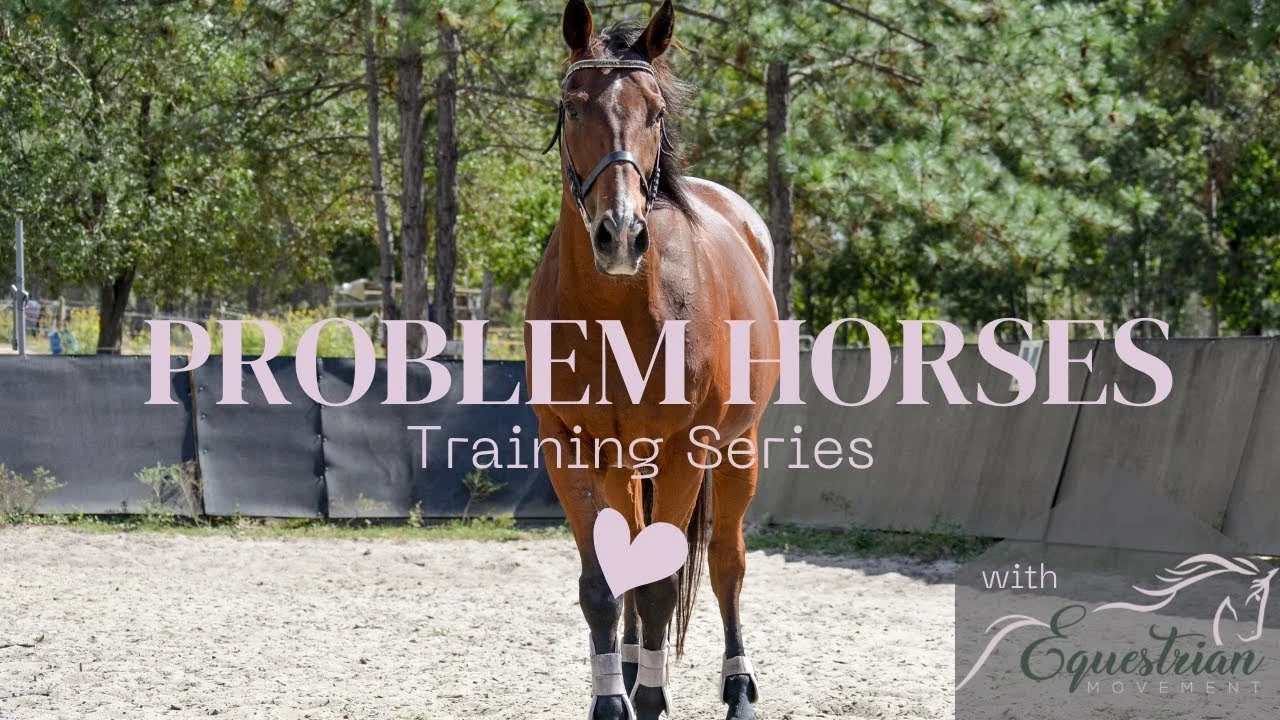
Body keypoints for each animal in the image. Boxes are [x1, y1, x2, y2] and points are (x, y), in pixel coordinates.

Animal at [524, 2, 780, 719]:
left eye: (657, 112)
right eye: (572, 106)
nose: (621, 234)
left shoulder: (684, 451)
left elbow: (665, 584)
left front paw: (654, 698)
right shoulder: (569, 447)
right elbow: (603, 586)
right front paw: (613, 700)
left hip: (739, 448)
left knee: (727, 562)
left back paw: (738, 689)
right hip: (622, 465)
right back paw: (635, 667)